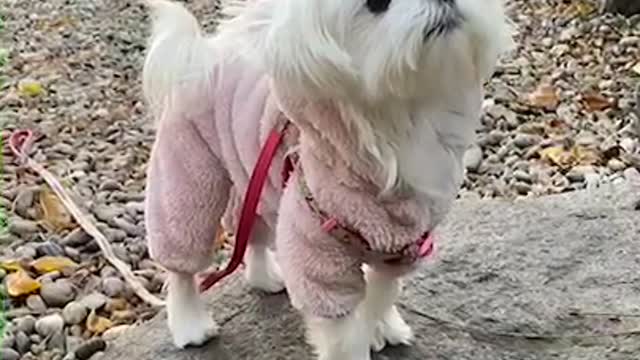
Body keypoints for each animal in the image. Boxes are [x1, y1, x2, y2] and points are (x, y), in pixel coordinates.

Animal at [141, 0, 516, 360]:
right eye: (377, 3)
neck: (402, 123)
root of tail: (201, 52)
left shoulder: (402, 246)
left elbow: (381, 293)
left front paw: (380, 328)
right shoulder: (317, 250)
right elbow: (342, 334)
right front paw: (363, 340)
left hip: (250, 174)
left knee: (251, 227)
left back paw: (265, 277)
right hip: (187, 172)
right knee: (181, 263)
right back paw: (190, 323)